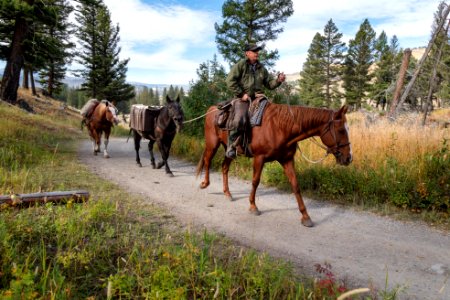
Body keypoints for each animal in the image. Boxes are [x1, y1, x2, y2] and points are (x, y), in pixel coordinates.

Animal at [195, 103, 354, 227]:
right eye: (341, 130)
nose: (349, 158)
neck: (281, 127)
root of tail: (212, 109)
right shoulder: (259, 158)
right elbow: (255, 181)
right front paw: (253, 206)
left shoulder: (287, 160)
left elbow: (295, 185)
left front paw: (305, 216)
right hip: (212, 144)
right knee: (207, 161)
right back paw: (205, 183)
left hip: (229, 150)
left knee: (224, 166)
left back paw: (227, 193)